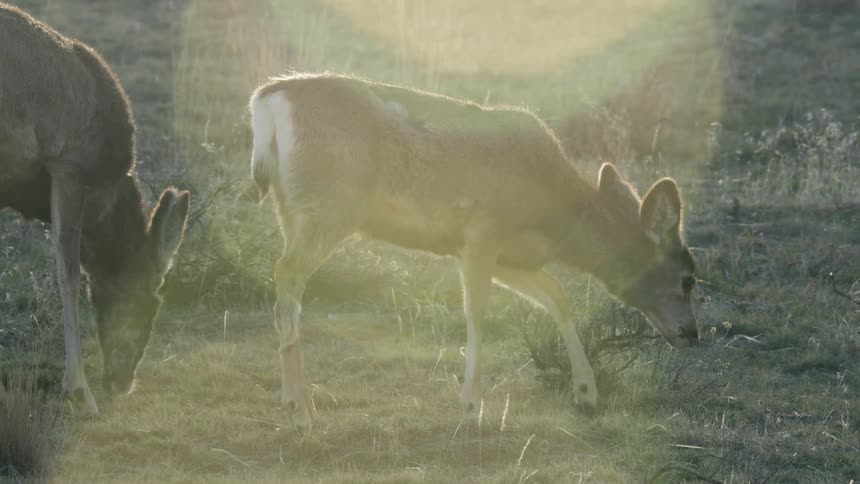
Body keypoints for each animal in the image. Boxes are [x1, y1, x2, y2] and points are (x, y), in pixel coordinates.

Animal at [249, 72, 699, 432]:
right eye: (688, 279)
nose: (691, 333)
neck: (556, 219)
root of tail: (267, 99)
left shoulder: (508, 256)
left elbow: (557, 295)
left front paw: (587, 392)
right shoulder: (483, 231)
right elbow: (478, 312)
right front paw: (472, 406)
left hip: (291, 208)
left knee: (286, 283)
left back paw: (292, 401)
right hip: (329, 206)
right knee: (287, 274)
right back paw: (302, 412)